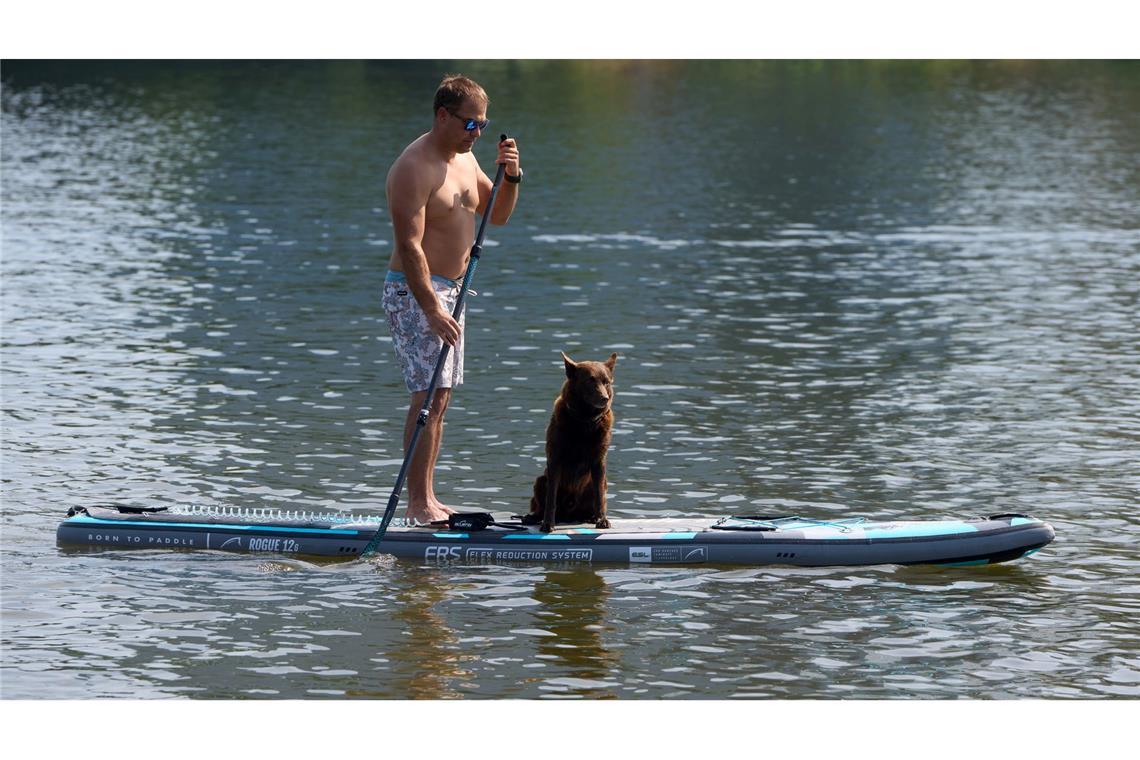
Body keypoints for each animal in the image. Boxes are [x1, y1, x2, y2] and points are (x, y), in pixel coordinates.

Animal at [522, 353, 620, 533]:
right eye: (590, 381)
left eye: (606, 382)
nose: (605, 398)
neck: (584, 421)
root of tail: (569, 514)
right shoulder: (555, 459)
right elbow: (551, 498)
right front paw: (548, 523)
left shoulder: (599, 461)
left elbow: (599, 497)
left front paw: (602, 520)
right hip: (541, 480)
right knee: (541, 503)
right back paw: (533, 517)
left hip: (598, 484)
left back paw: (591, 517)